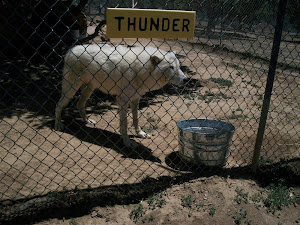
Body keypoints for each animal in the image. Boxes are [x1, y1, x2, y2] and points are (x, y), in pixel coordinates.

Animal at [53, 44, 185, 149]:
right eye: (171, 67)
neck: (140, 68)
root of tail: (70, 50)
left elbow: (136, 119)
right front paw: (127, 142)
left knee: (79, 104)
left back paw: (87, 121)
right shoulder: (123, 100)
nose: (186, 79)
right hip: (71, 89)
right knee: (58, 104)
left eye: (179, 66)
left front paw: (140, 134)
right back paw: (58, 125)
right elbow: (124, 124)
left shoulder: (135, 98)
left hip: (89, 88)